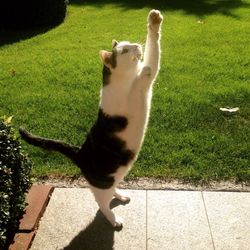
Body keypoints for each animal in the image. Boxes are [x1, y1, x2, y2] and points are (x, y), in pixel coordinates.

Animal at [20, 9, 164, 229]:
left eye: (130, 43)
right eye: (124, 50)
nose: (137, 46)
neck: (123, 80)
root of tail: (80, 153)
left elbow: (151, 56)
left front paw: (152, 24)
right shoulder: (141, 86)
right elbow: (150, 64)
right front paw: (153, 23)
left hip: (114, 175)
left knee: (113, 190)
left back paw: (121, 195)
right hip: (102, 184)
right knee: (101, 204)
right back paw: (114, 220)